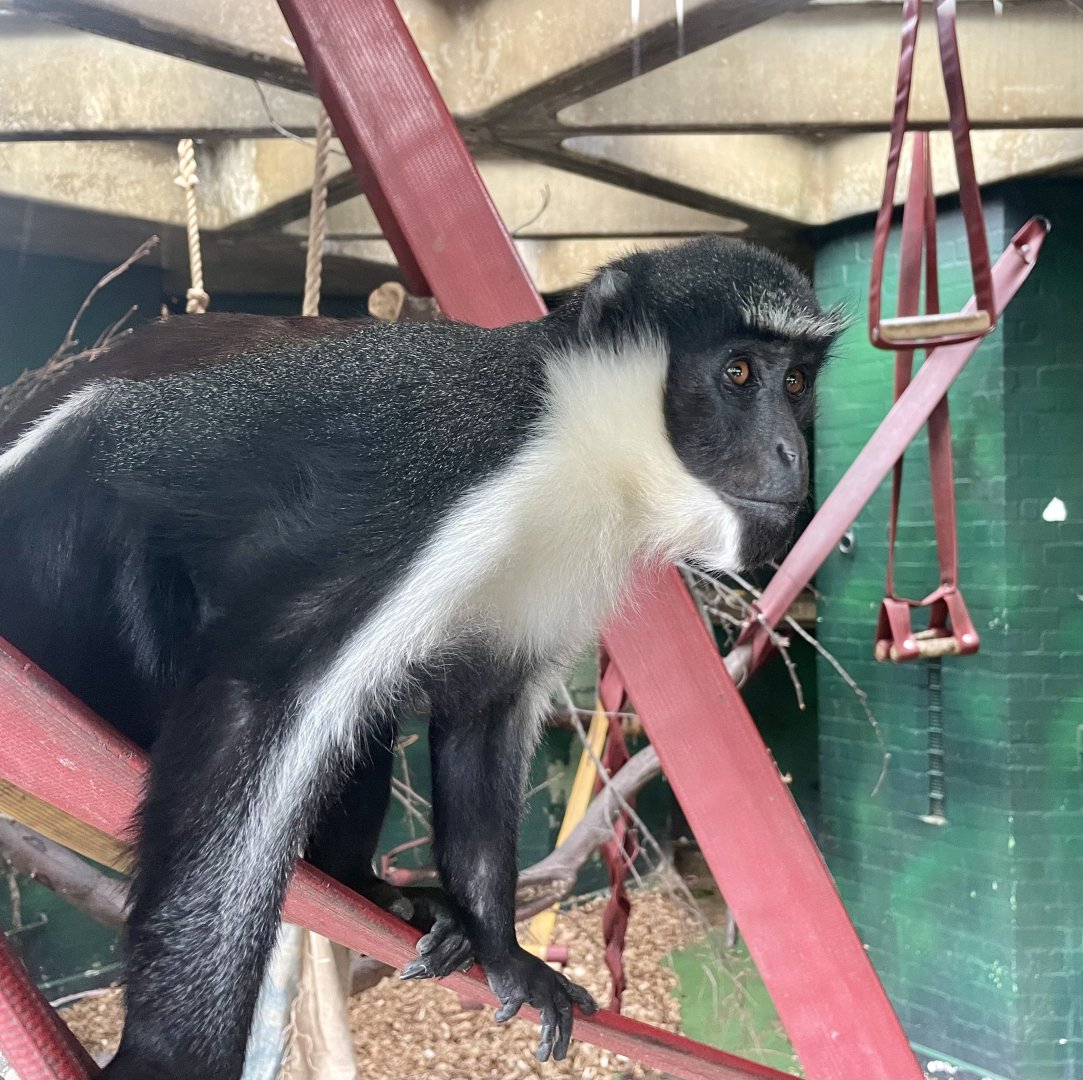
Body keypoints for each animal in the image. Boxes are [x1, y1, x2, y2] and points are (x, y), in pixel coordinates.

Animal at [0, 236, 842, 1079]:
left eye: (795, 382)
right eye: (739, 373)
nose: (791, 453)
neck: (577, 451)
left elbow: (481, 720)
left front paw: (503, 951)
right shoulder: (436, 479)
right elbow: (260, 693)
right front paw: (171, 1054)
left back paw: (372, 891)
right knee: (96, 431)